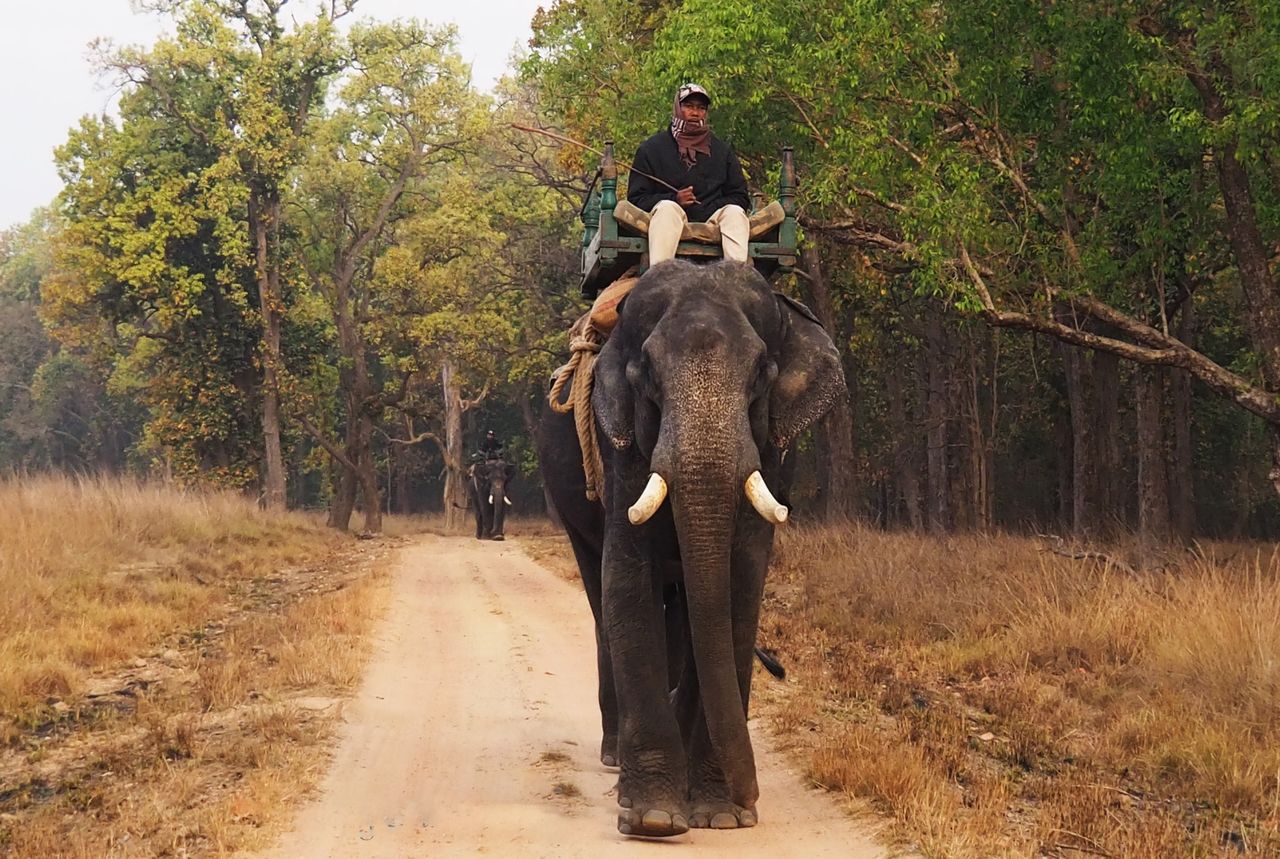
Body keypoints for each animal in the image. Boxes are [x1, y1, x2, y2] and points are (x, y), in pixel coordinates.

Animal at [537, 260, 844, 837]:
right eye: (646, 376)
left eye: (761, 374)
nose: (751, 796)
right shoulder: (621, 449)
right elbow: (627, 579)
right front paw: (655, 818)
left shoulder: (773, 452)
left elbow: (739, 585)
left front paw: (721, 816)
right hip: (568, 504)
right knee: (600, 594)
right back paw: (614, 754)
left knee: (682, 607)